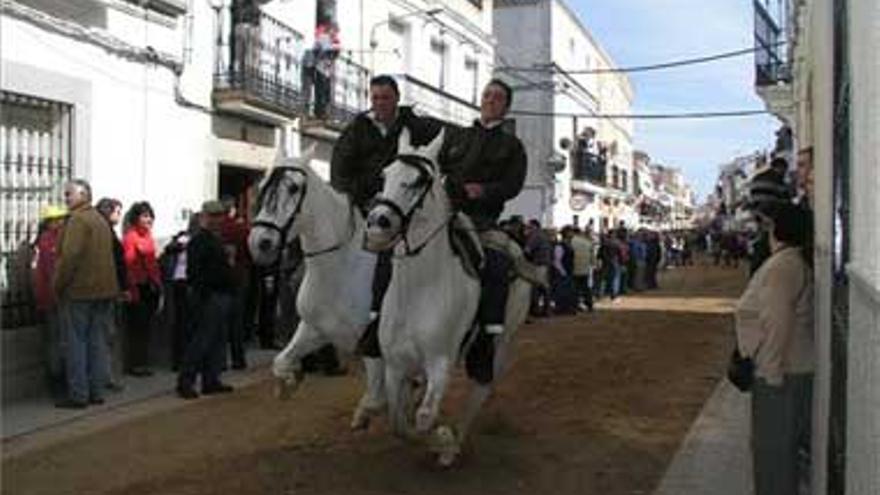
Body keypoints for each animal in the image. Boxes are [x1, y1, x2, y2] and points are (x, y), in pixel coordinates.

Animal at [248, 151, 384, 430]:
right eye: (263, 185)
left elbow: (376, 396)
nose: (260, 243)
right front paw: (289, 382)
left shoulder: (370, 338)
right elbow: (280, 362)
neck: (340, 268)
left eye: (293, 187)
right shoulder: (315, 328)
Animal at [362, 130, 532, 466]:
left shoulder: (440, 363)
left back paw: (454, 443)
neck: (418, 290)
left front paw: (442, 439)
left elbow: (425, 417)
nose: (376, 224)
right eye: (385, 175)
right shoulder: (395, 366)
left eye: (418, 180)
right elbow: (399, 421)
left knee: (479, 392)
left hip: (498, 345)